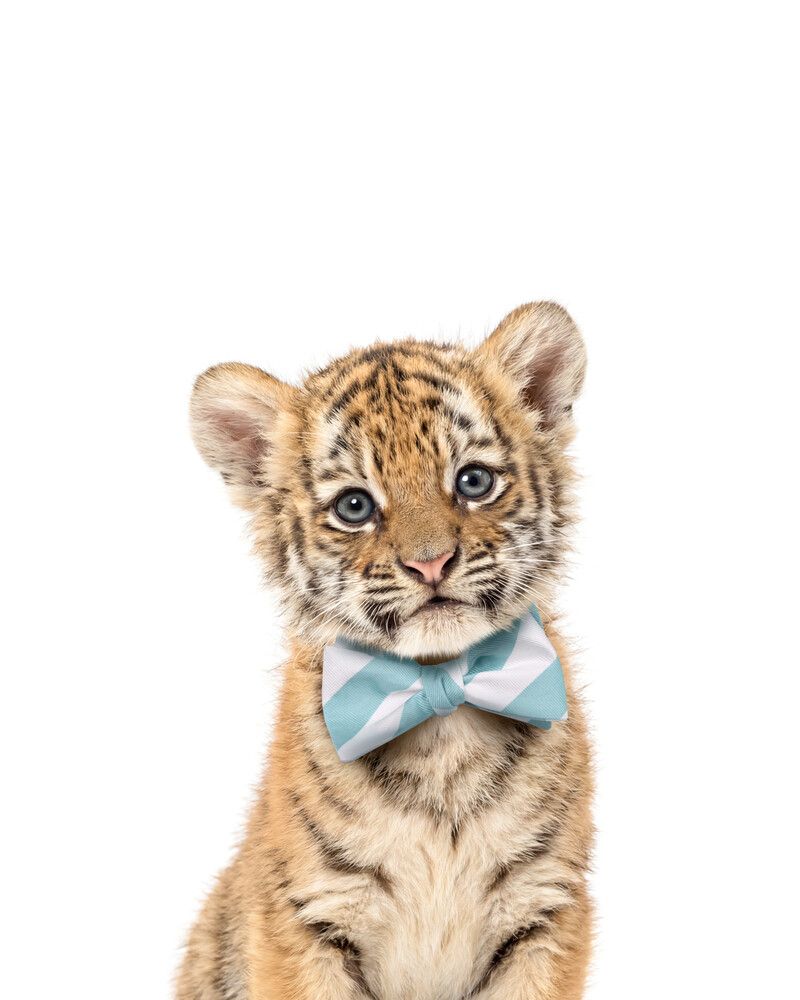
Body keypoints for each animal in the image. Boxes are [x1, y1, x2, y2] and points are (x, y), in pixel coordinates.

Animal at [176, 301, 594, 1000]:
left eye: (473, 481)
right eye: (355, 506)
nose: (431, 563)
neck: (440, 707)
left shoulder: (545, 907)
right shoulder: (307, 917)